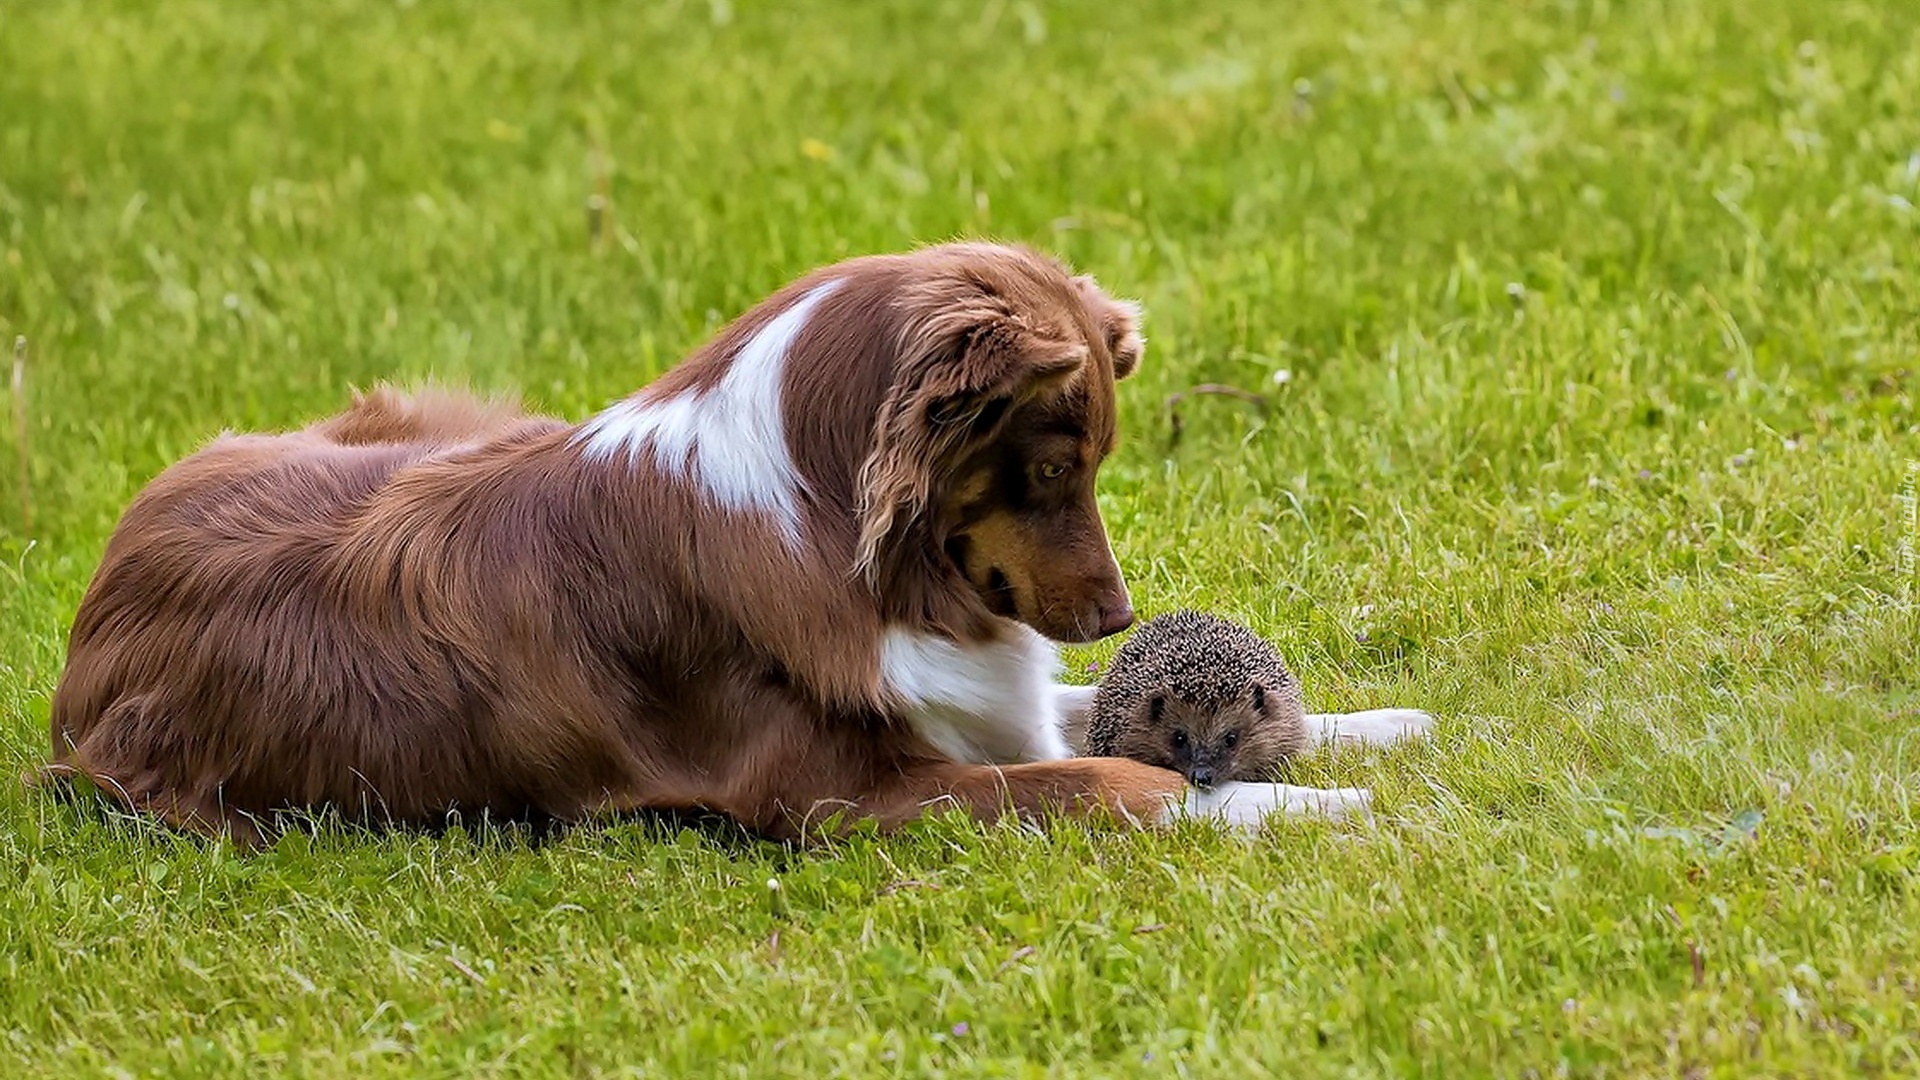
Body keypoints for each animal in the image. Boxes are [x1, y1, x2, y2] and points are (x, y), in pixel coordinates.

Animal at [30, 239, 1428, 845]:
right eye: (1049, 470)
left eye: (1094, 465)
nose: (1117, 619)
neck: (830, 525)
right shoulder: (838, 799)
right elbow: (1120, 782)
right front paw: (1322, 803)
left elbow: (1088, 718)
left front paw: (1375, 729)